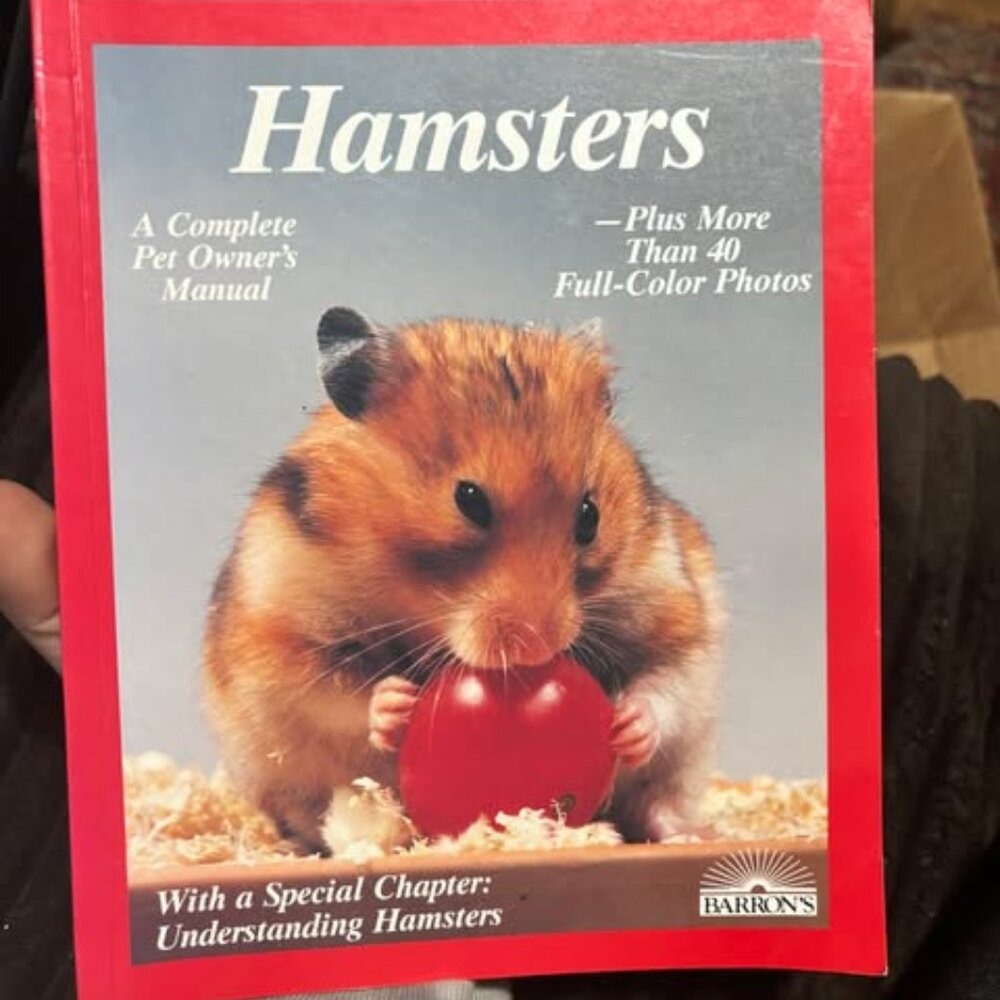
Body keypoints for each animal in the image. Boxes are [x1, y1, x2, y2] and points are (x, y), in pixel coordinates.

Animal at [203, 307, 723, 852]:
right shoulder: (281, 639)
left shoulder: (675, 608)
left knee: (657, 802)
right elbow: (338, 692)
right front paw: (396, 706)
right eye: (468, 500)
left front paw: (626, 724)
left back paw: (689, 835)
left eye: (590, 515)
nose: (538, 649)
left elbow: (665, 680)